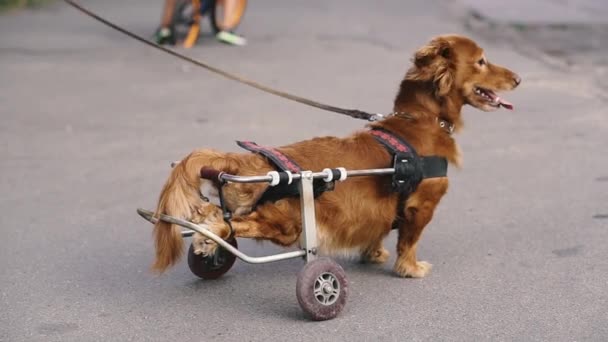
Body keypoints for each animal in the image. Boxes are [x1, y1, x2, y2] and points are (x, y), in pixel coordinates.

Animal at [150, 34, 520, 278]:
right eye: (481, 61)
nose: (518, 78)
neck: (420, 120)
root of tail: (249, 162)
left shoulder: (380, 208)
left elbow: (379, 229)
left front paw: (374, 254)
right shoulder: (421, 206)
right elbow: (409, 241)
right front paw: (410, 268)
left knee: (218, 217)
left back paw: (206, 237)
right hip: (287, 222)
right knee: (230, 224)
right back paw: (209, 233)